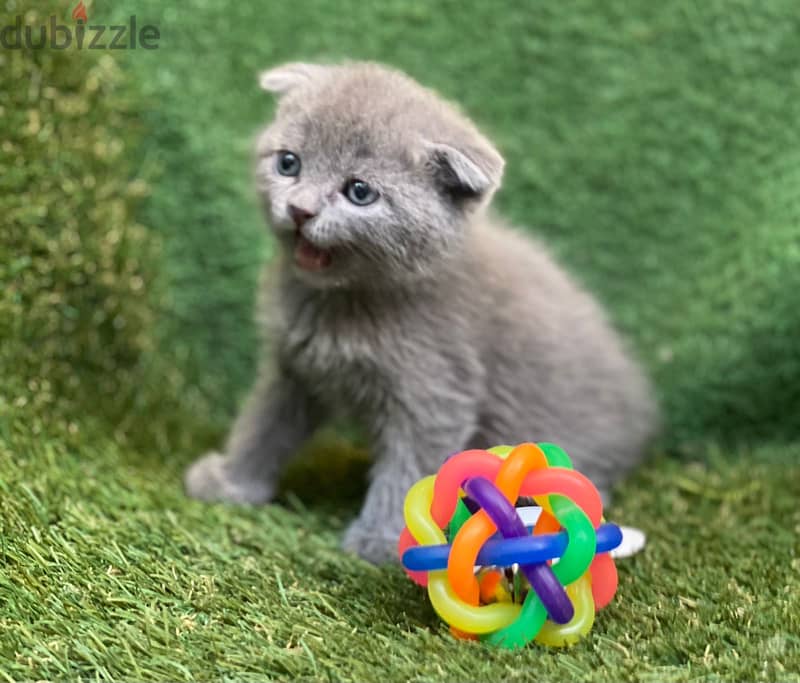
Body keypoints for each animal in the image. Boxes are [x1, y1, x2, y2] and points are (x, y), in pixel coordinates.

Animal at [184, 61, 660, 564]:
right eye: (288, 163)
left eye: (359, 191)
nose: (300, 209)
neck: (343, 301)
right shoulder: (293, 369)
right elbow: (263, 424)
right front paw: (231, 482)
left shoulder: (435, 391)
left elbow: (411, 467)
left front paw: (382, 539)